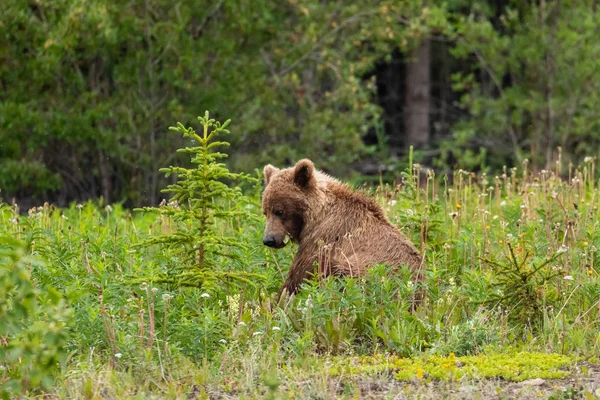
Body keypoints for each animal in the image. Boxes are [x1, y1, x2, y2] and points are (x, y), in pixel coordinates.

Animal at [260, 158, 424, 302]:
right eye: (265, 211)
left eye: (279, 211)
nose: (269, 240)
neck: (315, 216)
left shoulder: (324, 238)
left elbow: (300, 275)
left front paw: (279, 301)